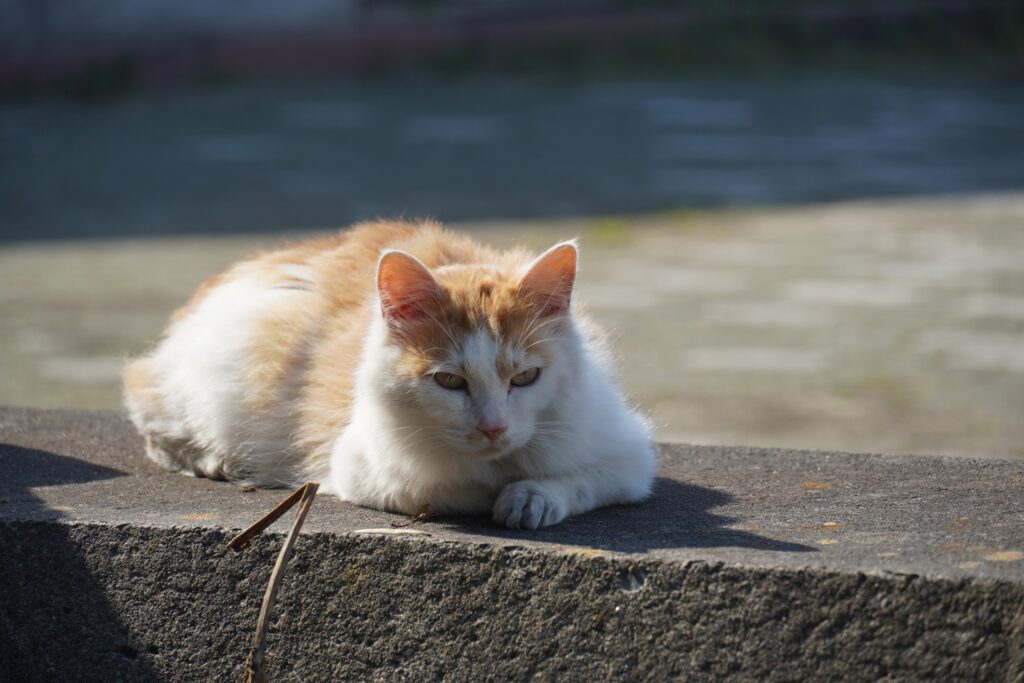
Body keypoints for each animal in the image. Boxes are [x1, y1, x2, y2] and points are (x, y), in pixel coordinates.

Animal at [123, 222, 655, 532]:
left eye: (525, 376)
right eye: (449, 382)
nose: (494, 428)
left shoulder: (631, 455)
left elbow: (585, 479)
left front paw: (533, 496)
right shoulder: (366, 468)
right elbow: (452, 489)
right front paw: (503, 490)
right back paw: (214, 461)